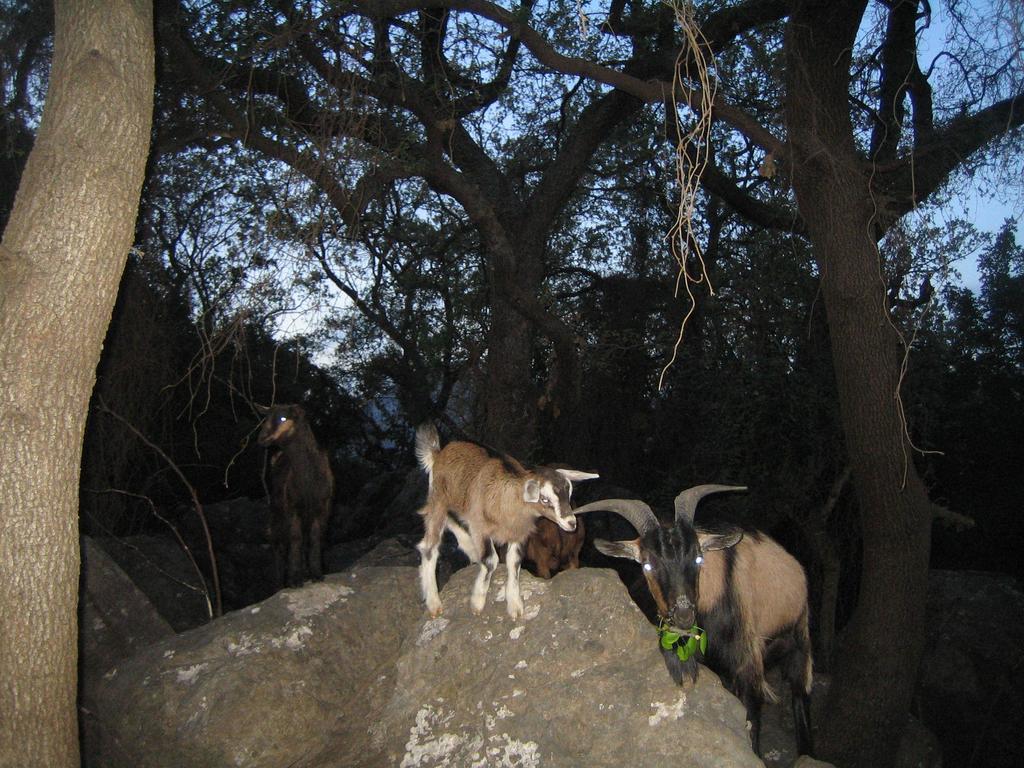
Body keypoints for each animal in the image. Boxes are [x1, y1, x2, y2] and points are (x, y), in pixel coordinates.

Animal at [258, 405, 333, 593]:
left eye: (283, 418)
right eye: (266, 418)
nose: (261, 439)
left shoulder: (322, 509)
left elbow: (315, 539)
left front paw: (316, 574)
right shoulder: (292, 509)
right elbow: (295, 541)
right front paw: (295, 580)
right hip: (277, 513)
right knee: (278, 547)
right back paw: (279, 585)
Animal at [411, 423, 598, 622]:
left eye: (569, 494)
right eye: (544, 499)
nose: (571, 523)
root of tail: (438, 453)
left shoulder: (519, 533)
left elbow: (514, 562)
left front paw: (515, 606)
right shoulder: (481, 528)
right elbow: (491, 560)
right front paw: (477, 603)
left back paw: (469, 549)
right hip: (439, 499)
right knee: (429, 546)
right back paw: (433, 603)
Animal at [577, 487, 815, 757]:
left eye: (698, 559)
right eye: (647, 564)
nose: (683, 614)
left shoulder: (746, 659)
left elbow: (751, 718)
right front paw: (681, 664)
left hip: (799, 640)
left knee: (800, 694)